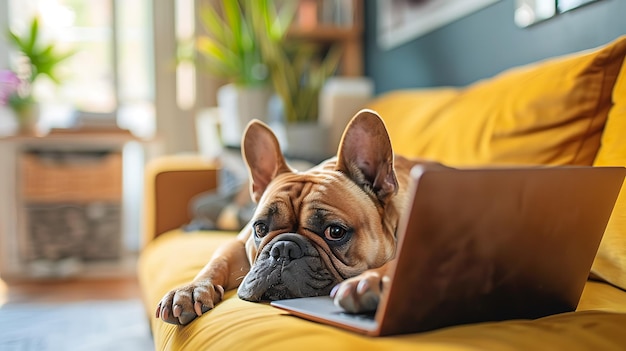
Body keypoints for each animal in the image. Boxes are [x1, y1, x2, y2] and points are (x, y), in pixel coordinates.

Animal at [154, 108, 432, 326]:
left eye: (335, 232)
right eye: (260, 229)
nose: (283, 249)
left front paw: (373, 280)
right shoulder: (237, 244)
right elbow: (217, 262)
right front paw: (190, 290)